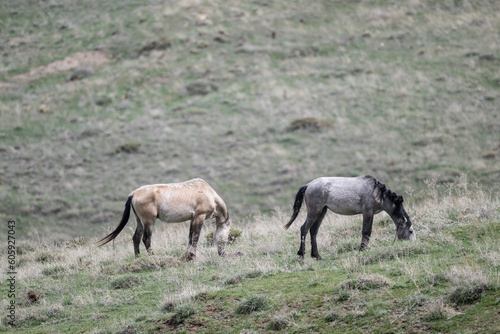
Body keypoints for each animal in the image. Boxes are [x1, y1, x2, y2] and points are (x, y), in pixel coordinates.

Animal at [97, 177, 230, 260]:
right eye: (227, 237)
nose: (222, 254)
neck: (208, 193)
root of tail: (133, 194)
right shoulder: (199, 217)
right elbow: (196, 237)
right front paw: (192, 256)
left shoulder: (192, 219)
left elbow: (190, 237)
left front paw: (187, 256)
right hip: (149, 222)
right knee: (146, 239)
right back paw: (153, 257)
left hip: (139, 221)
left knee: (136, 238)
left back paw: (138, 258)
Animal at [284, 176, 416, 260]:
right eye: (410, 231)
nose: (413, 243)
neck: (377, 193)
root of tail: (308, 185)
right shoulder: (368, 212)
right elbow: (366, 231)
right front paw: (362, 250)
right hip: (314, 212)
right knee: (304, 229)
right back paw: (301, 254)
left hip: (321, 212)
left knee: (313, 231)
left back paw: (317, 255)